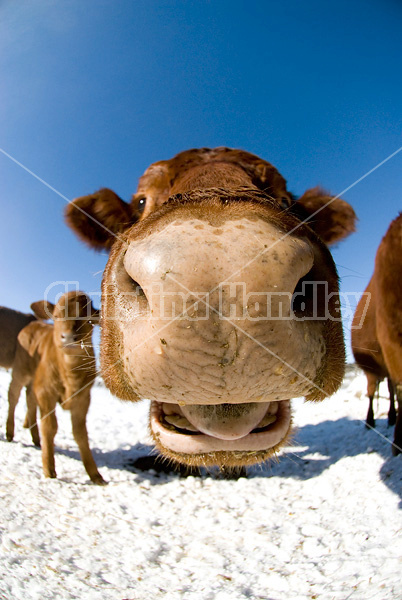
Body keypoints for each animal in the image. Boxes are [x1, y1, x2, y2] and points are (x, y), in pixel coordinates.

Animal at [12, 290, 106, 482]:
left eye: (88, 319)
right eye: (56, 316)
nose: (68, 337)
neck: (70, 376)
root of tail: (34, 323)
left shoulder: (83, 399)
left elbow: (80, 433)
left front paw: (94, 474)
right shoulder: (46, 392)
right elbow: (50, 427)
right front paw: (49, 469)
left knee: (30, 401)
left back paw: (35, 438)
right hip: (20, 371)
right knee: (14, 397)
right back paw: (10, 434)